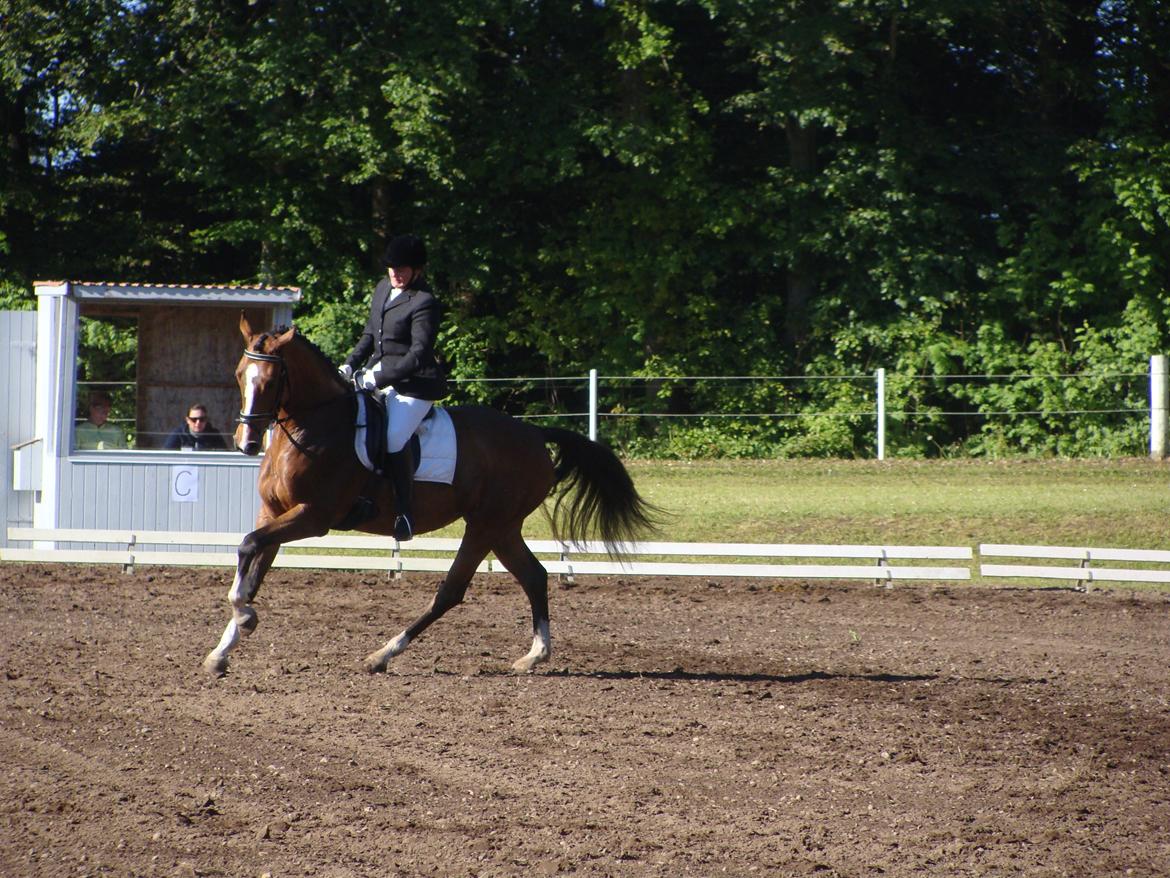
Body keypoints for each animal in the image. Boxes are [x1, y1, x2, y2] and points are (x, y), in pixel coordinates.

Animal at [202, 316, 659, 678]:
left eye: (271, 380)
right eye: (240, 374)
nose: (246, 443)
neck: (315, 425)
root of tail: (533, 433)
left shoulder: (313, 517)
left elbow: (247, 547)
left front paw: (244, 615)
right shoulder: (272, 513)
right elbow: (252, 565)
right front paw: (223, 650)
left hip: (485, 525)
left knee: (451, 591)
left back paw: (382, 654)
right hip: (503, 528)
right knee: (534, 576)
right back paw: (534, 656)